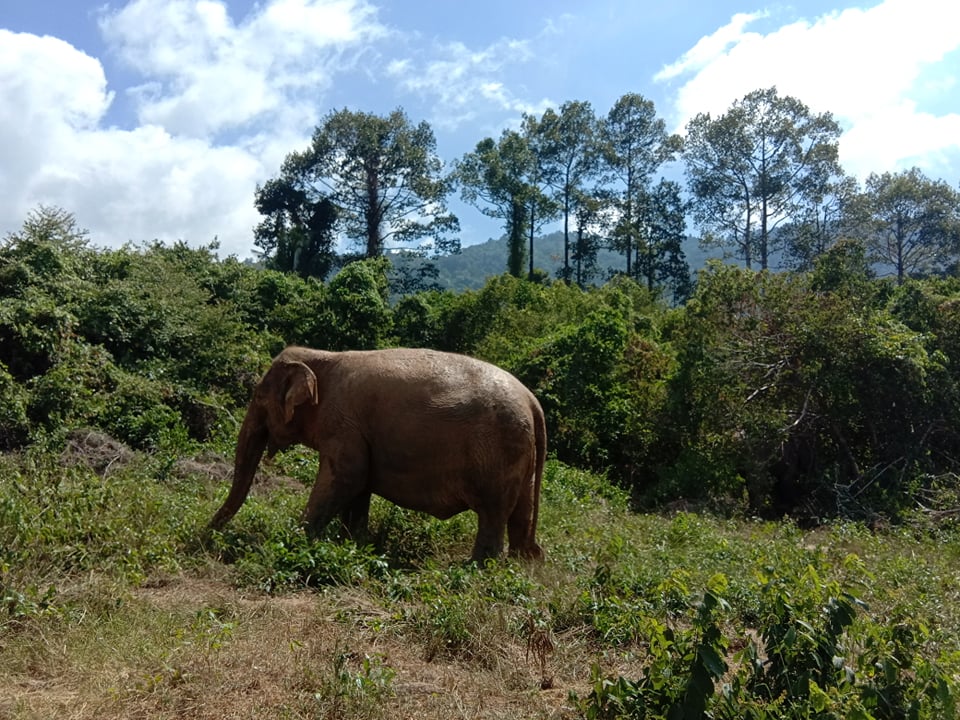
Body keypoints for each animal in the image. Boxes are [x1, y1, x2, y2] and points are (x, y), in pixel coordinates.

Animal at [206, 344, 544, 564]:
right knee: (519, 514)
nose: (206, 537)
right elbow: (358, 488)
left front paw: (295, 539)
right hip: (520, 457)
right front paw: (353, 545)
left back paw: (476, 569)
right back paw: (520, 564)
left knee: (492, 513)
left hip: (497, 454)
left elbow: (347, 478)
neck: (323, 357)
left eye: (259, 398)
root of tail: (532, 401)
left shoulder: (344, 423)